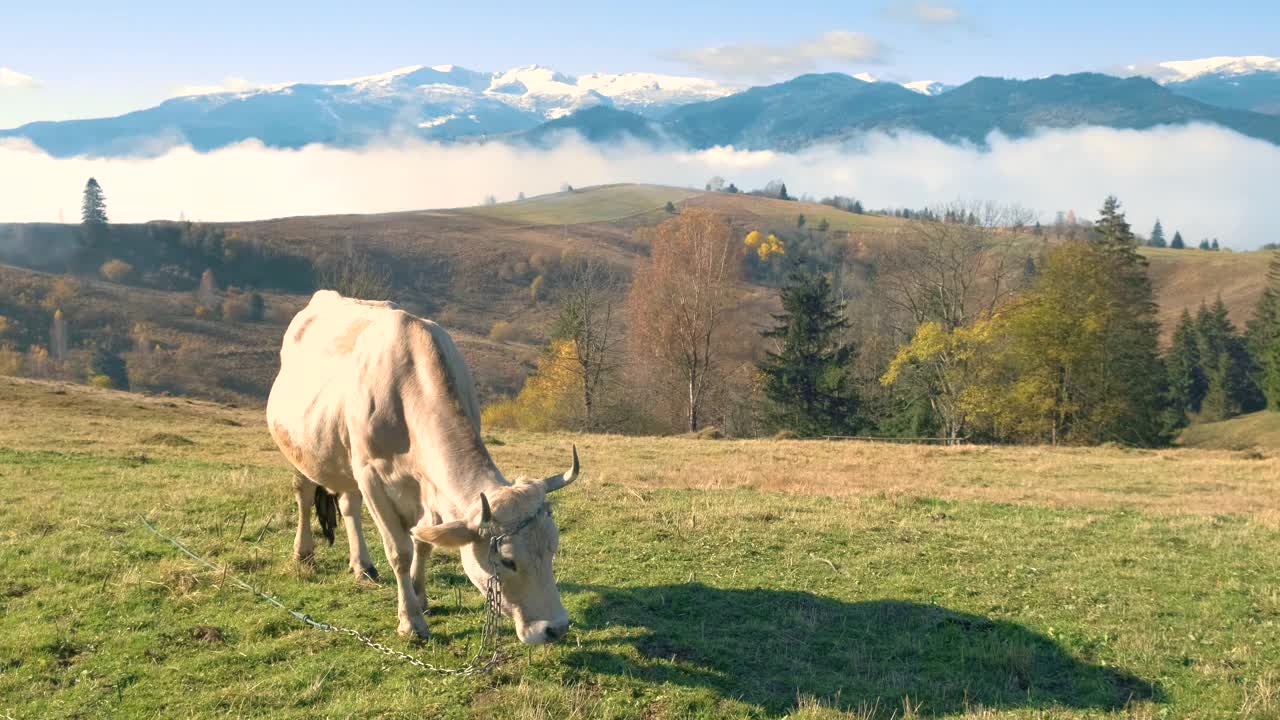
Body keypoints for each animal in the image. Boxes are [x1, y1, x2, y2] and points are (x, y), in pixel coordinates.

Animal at [270, 288, 581, 640]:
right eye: (507, 561)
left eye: (553, 546)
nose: (556, 628)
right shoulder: (371, 477)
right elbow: (400, 550)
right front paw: (411, 621)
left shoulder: (428, 488)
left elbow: (423, 542)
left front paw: (421, 597)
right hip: (300, 447)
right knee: (304, 496)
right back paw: (304, 552)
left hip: (344, 457)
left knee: (348, 505)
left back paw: (362, 565)